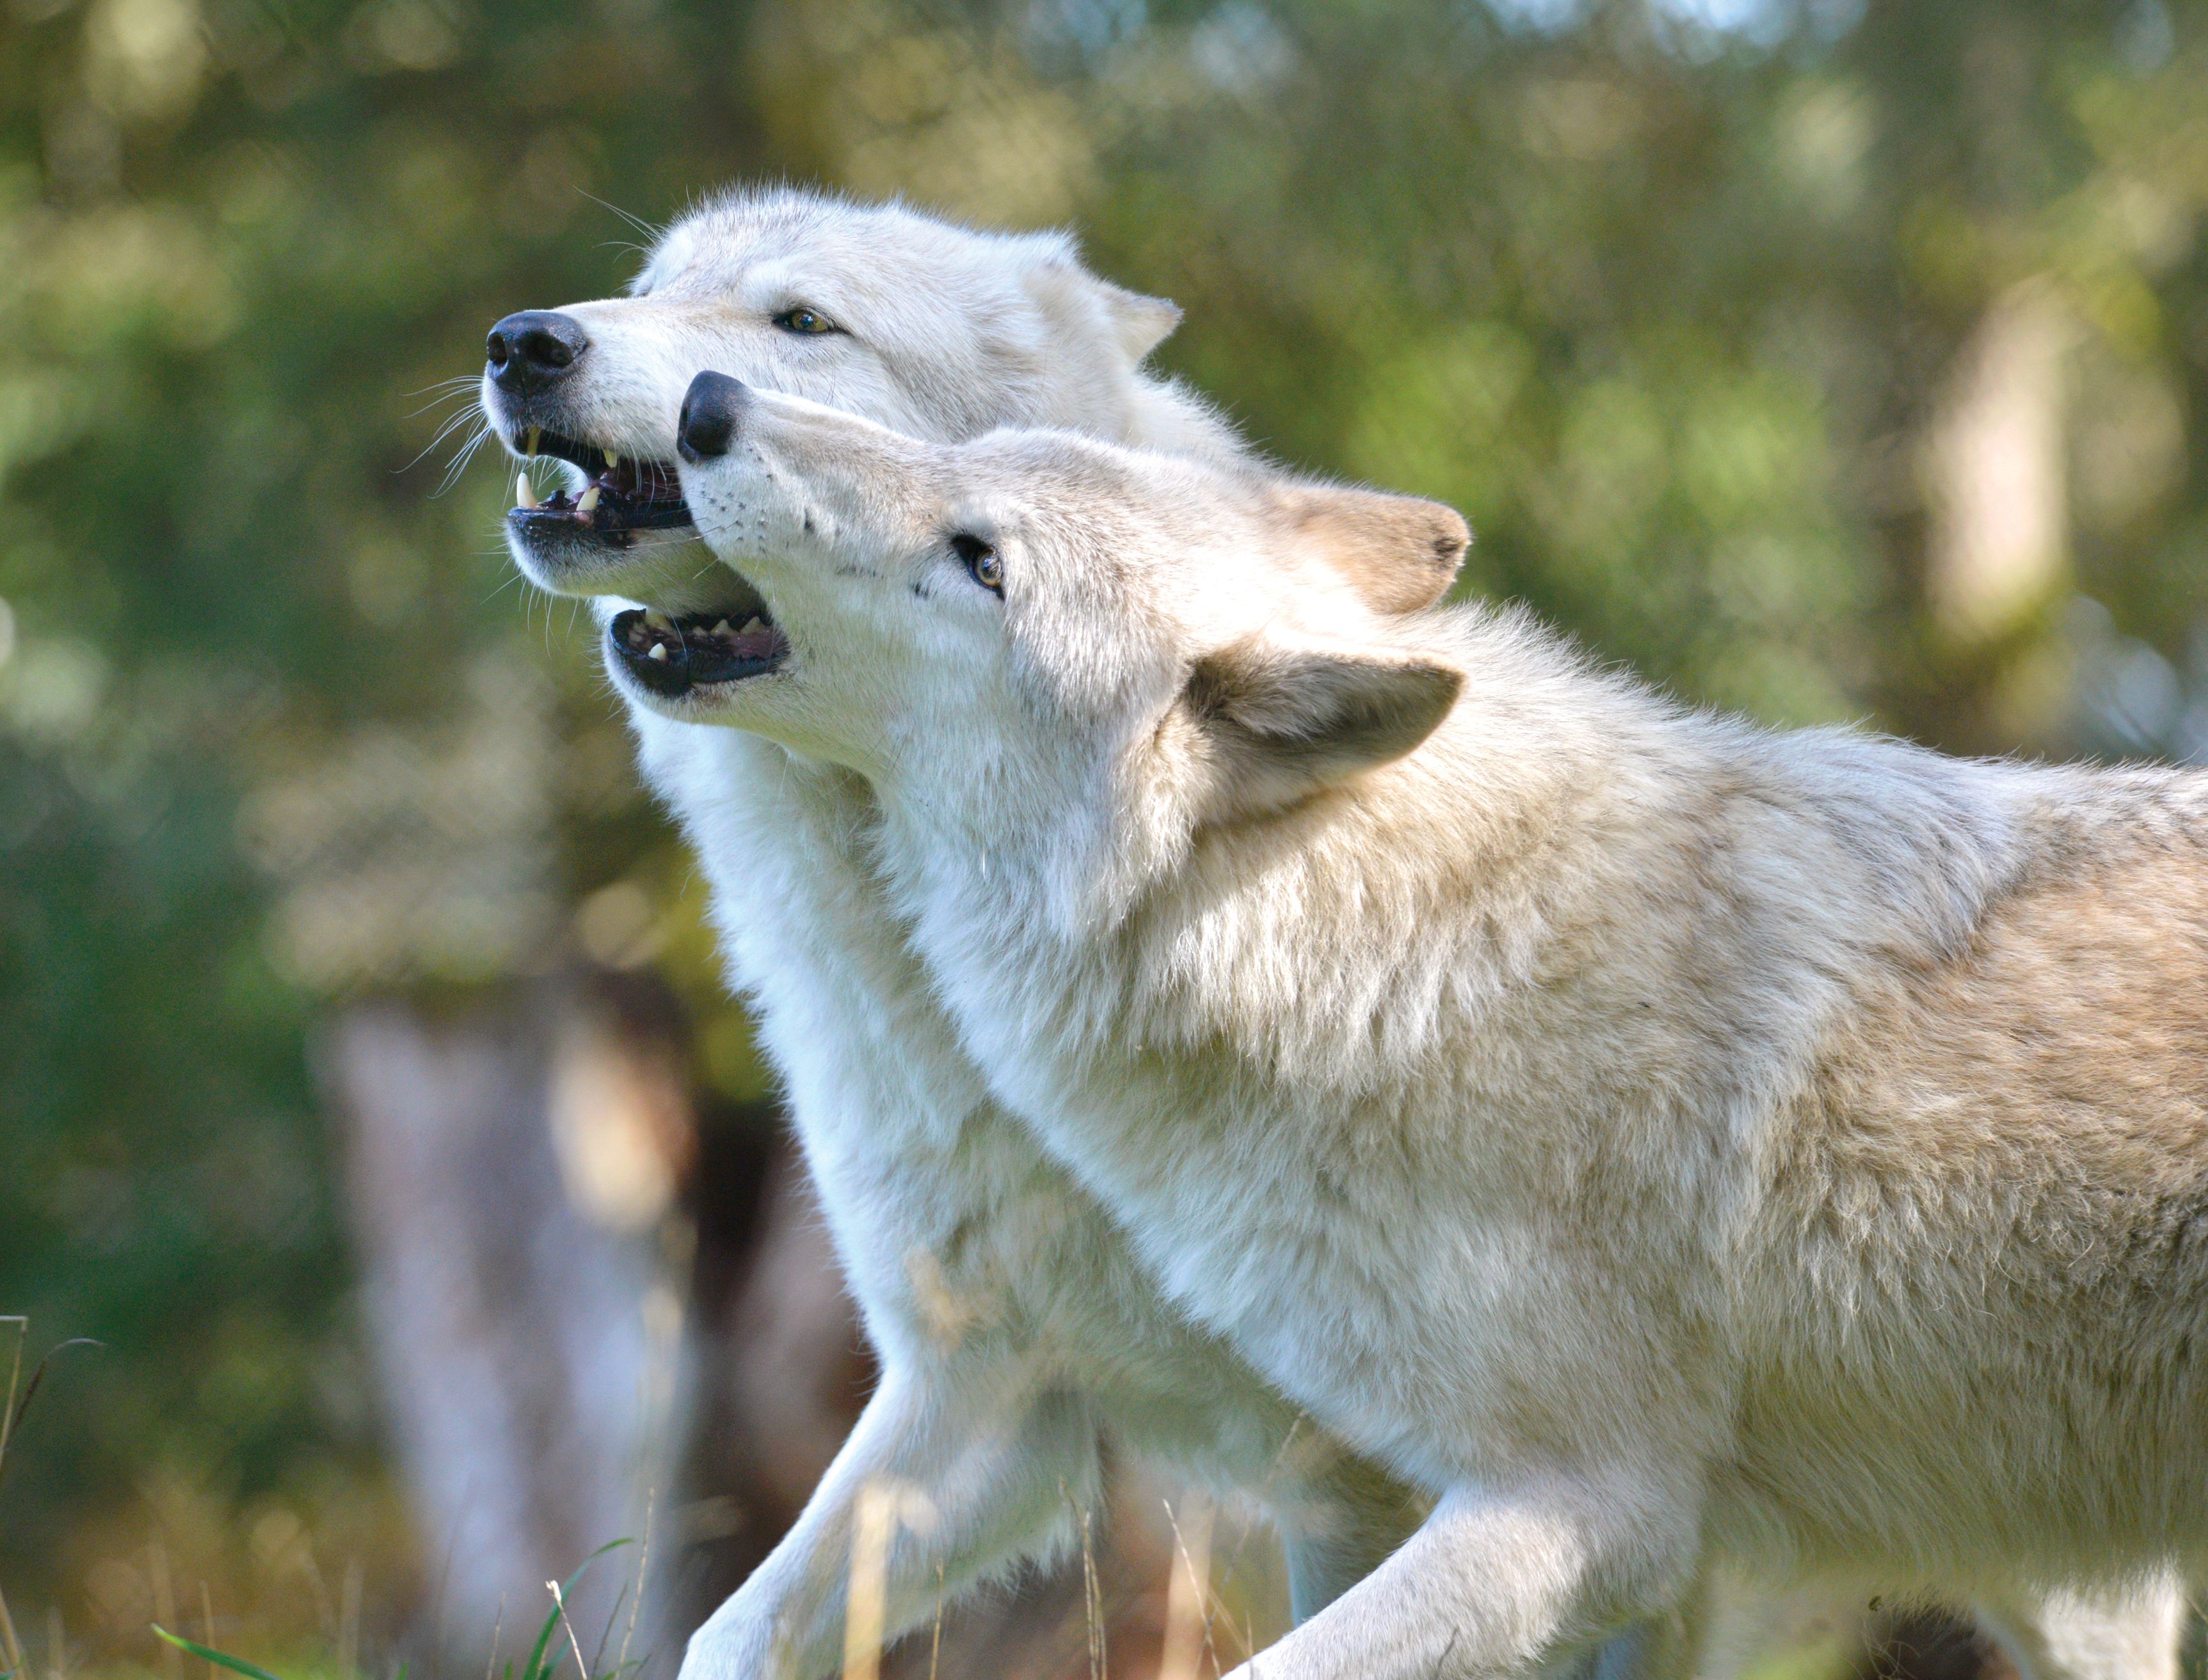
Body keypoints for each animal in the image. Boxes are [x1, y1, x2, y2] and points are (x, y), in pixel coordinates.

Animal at [660, 372, 2203, 1680]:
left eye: (983, 562)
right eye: (962, 455)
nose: (708, 402)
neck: (1383, 950)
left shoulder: (1577, 1514)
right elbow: (719, 1638)